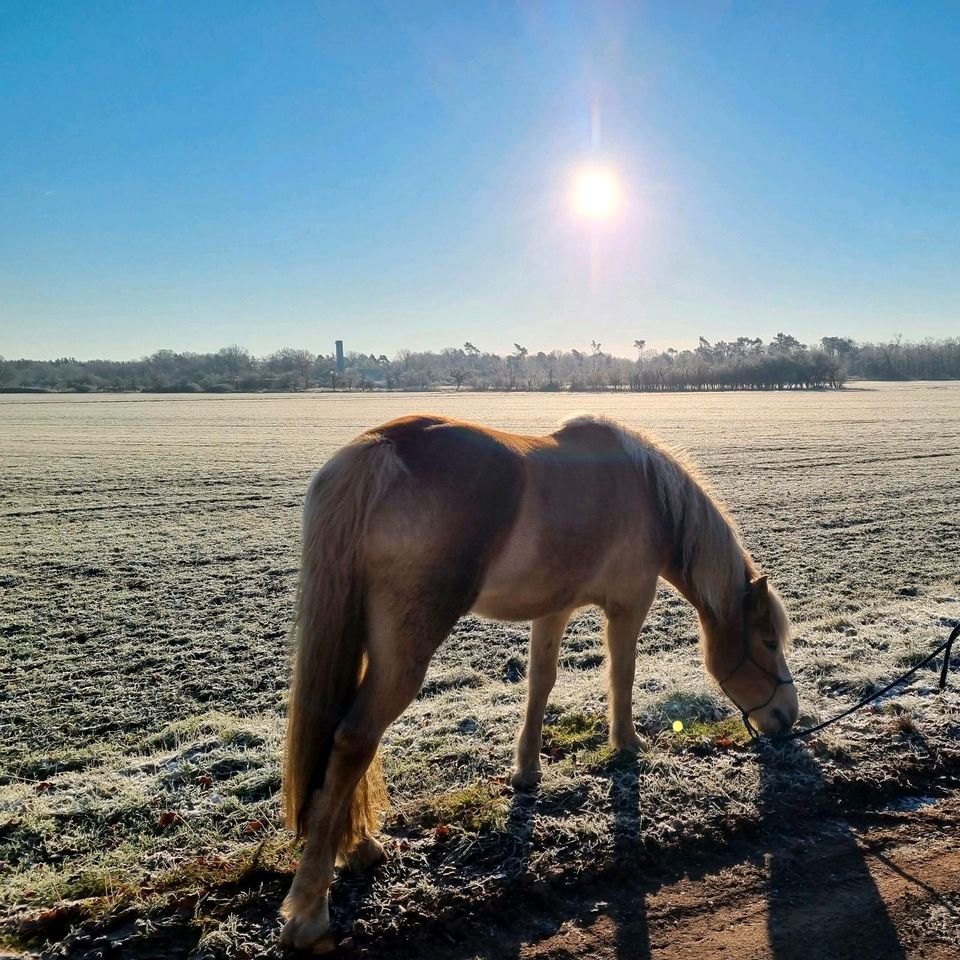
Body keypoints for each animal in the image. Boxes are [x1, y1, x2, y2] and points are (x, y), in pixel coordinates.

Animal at [282, 414, 800, 952]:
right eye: (767, 641)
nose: (789, 714)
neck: (646, 493)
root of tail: (383, 448)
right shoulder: (628, 605)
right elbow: (622, 672)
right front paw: (627, 743)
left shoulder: (554, 609)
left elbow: (540, 683)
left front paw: (527, 770)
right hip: (404, 654)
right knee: (354, 740)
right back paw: (311, 911)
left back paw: (358, 847)